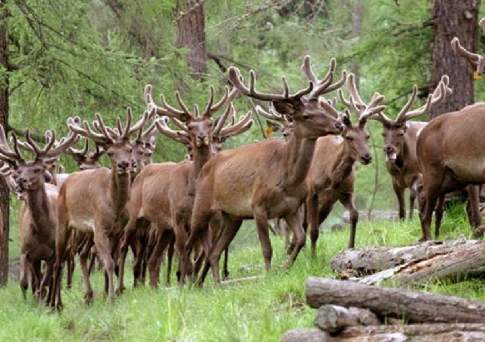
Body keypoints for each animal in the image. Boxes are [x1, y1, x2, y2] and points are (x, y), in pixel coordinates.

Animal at [0, 126, 78, 300]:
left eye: (37, 169)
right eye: (18, 170)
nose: (21, 181)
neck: (43, 232)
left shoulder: (53, 253)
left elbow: (46, 282)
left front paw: (43, 300)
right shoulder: (26, 251)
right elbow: (25, 282)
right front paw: (28, 300)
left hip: (65, 247)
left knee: (57, 275)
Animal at [49, 108, 148, 308]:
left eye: (129, 149)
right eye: (110, 152)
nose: (124, 164)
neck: (115, 205)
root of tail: (65, 183)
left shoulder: (117, 230)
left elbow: (114, 260)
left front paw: (110, 293)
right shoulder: (100, 227)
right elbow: (108, 262)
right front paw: (110, 298)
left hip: (87, 231)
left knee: (82, 254)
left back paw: (88, 295)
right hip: (64, 222)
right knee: (58, 261)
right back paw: (57, 304)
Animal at [180, 56, 346, 284]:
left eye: (322, 108)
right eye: (306, 115)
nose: (339, 124)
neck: (287, 178)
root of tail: (205, 167)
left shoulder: (291, 208)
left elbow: (299, 239)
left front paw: (286, 267)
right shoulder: (258, 206)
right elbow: (267, 248)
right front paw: (268, 275)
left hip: (233, 217)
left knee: (214, 252)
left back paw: (217, 284)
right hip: (202, 207)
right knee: (187, 246)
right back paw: (187, 283)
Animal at [372, 75, 452, 222]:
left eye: (400, 133)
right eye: (383, 133)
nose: (388, 149)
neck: (402, 167)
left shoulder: (418, 176)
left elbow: (412, 197)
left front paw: (410, 219)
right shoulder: (395, 180)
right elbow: (401, 205)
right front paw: (402, 220)